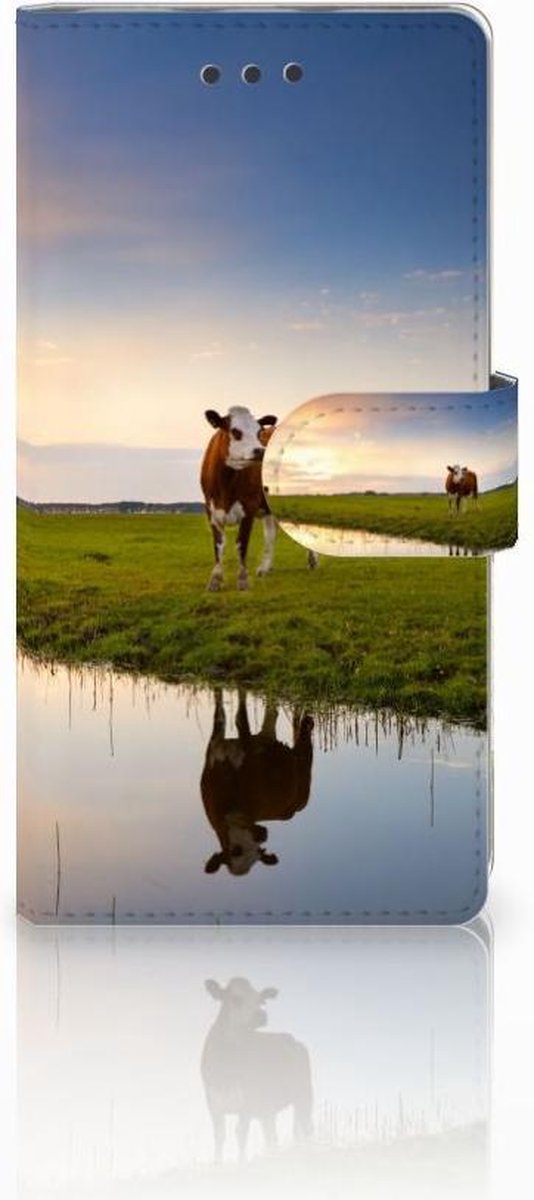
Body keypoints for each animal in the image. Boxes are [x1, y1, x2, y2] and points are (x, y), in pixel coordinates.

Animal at [200, 689, 314, 876]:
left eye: (259, 852)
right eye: (235, 850)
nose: (263, 835)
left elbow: (240, 718)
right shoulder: (214, 747)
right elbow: (220, 714)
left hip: (304, 767)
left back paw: (307, 720)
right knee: (272, 715)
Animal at [201, 406, 318, 591]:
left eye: (259, 432)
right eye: (235, 431)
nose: (260, 451)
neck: (226, 486)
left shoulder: (248, 508)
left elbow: (241, 544)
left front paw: (242, 580)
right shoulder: (211, 510)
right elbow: (218, 545)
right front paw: (215, 580)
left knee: (305, 529)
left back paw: (312, 561)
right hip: (269, 507)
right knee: (271, 533)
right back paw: (265, 568)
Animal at [201, 976, 313, 1161]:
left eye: (261, 1000)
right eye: (235, 998)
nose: (261, 1015)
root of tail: (293, 1039)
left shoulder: (247, 1102)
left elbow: (240, 1134)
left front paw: (241, 1163)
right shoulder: (213, 1103)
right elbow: (219, 1137)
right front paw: (217, 1164)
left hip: (304, 1095)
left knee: (306, 1127)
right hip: (268, 1109)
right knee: (272, 1137)